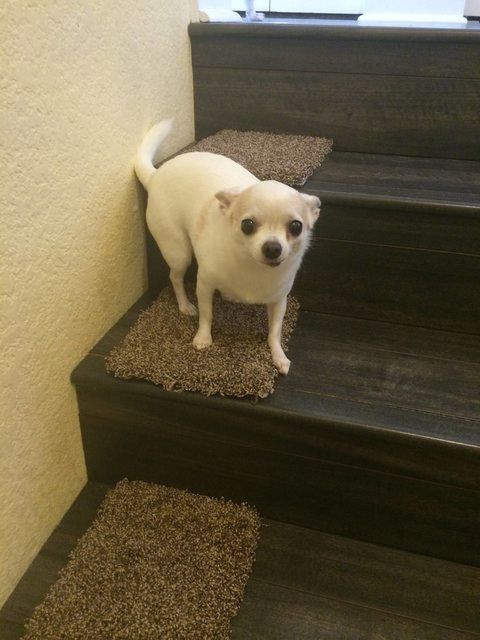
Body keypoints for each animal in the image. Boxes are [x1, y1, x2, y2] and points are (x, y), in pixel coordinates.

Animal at [135, 120, 320, 376]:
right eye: (247, 225)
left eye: (296, 226)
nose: (273, 247)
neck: (252, 267)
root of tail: (156, 174)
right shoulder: (204, 284)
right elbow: (207, 314)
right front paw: (203, 338)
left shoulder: (279, 300)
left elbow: (275, 331)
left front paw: (278, 355)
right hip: (178, 251)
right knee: (175, 277)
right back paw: (184, 305)